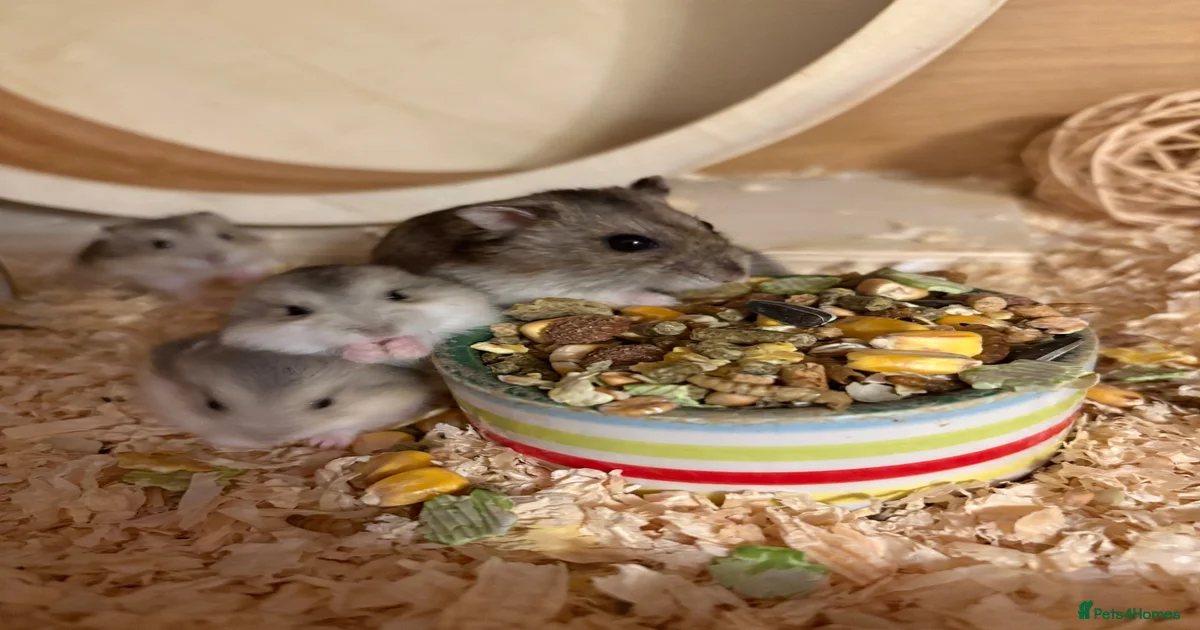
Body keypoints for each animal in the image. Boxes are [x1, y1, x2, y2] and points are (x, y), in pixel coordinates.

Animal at [75, 211, 279, 300]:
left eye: (227, 236)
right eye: (161, 244)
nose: (216, 259)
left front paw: (243, 277)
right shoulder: (164, 282)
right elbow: (184, 289)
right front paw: (205, 296)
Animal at [220, 264, 497, 365]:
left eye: (398, 295)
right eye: (295, 311)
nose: (379, 336)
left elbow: (429, 334)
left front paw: (398, 348)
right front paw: (371, 352)